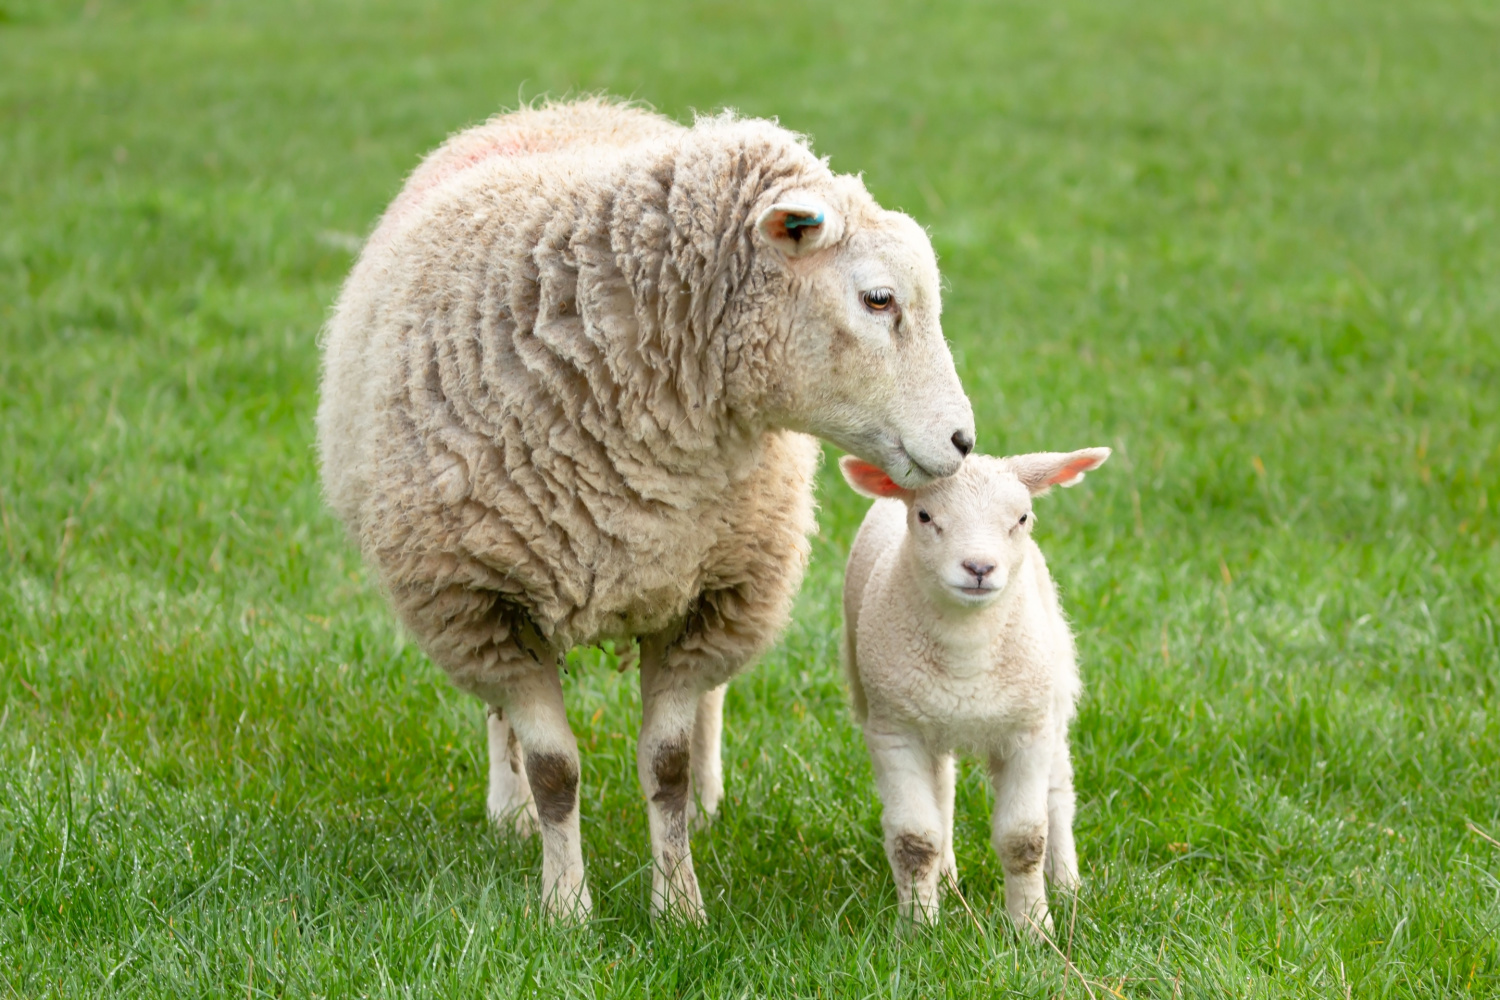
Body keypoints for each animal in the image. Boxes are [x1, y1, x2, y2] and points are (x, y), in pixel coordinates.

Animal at [316, 98, 976, 922]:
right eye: (878, 298)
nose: (963, 441)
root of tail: (567, 107)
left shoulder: (707, 599)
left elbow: (665, 764)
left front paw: (680, 907)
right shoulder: (483, 603)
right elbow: (554, 770)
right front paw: (566, 909)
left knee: (709, 705)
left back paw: (706, 802)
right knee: (500, 719)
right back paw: (510, 812)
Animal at [838, 447, 1110, 933]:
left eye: (1022, 517)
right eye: (925, 516)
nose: (979, 568)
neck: (966, 653)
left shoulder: (1028, 730)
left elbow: (1024, 839)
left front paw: (1033, 929)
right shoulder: (895, 730)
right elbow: (914, 840)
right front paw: (919, 929)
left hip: (1053, 695)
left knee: (1059, 792)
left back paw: (1067, 886)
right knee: (943, 790)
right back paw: (946, 879)